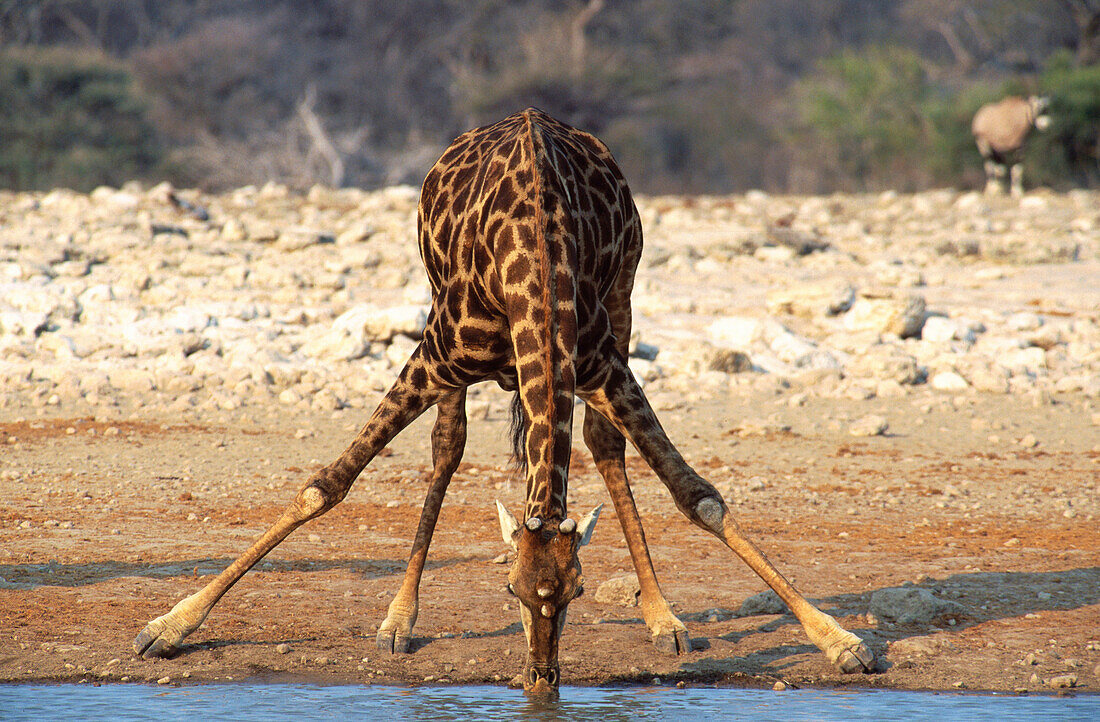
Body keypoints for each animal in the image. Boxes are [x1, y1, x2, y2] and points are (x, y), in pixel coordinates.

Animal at [135, 105, 875, 686]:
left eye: (576, 590)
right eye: (510, 588)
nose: (542, 677)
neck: (536, 261)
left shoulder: (604, 366)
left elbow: (698, 496)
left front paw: (842, 642)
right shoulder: (435, 355)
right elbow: (326, 486)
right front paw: (167, 627)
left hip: (625, 294)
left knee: (601, 445)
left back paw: (662, 617)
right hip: (438, 317)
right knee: (447, 448)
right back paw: (399, 618)